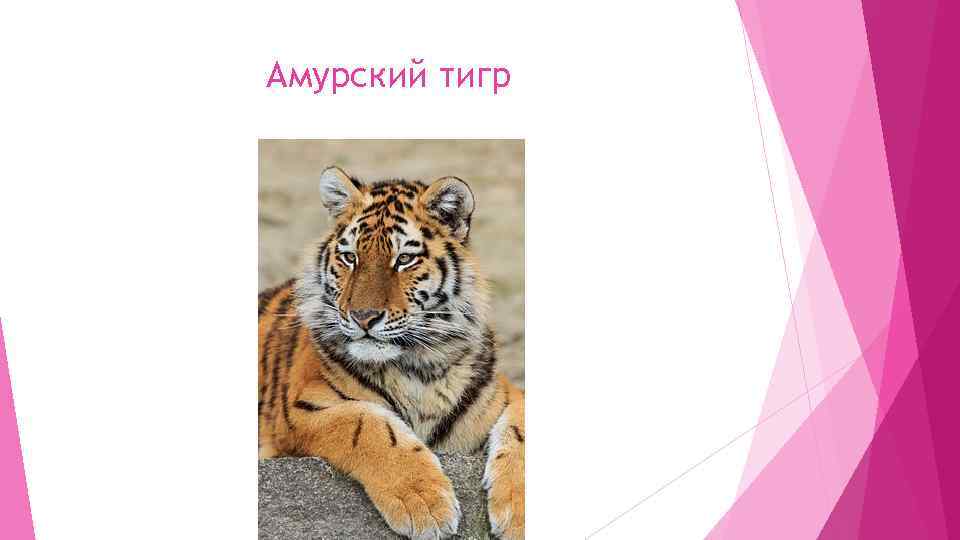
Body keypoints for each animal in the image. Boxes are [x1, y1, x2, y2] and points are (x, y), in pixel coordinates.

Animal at [258, 166, 525, 539]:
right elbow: (366, 424)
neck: (420, 364)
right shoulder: (299, 410)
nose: (363, 316)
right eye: (350, 257)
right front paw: (425, 504)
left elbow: (522, 429)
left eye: (404, 259)